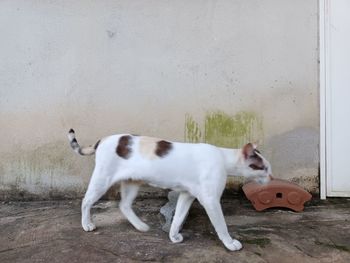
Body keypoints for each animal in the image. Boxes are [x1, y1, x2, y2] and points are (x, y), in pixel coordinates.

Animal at [67, 129, 272, 252]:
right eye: (263, 168)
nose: (271, 177)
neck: (223, 158)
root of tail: (103, 139)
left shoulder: (187, 195)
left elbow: (178, 218)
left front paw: (173, 236)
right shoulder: (210, 200)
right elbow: (221, 225)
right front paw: (230, 244)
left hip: (131, 183)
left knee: (124, 205)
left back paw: (141, 226)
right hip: (103, 179)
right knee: (86, 201)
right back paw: (87, 224)